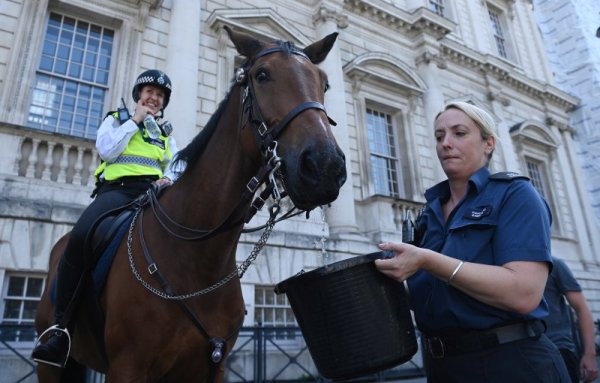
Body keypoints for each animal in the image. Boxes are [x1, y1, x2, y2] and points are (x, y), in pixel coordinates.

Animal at [36, 25, 346, 382]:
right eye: (262, 75)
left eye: (324, 82)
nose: (326, 166)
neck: (198, 257)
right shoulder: (127, 367)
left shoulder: (213, 365)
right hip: (51, 364)